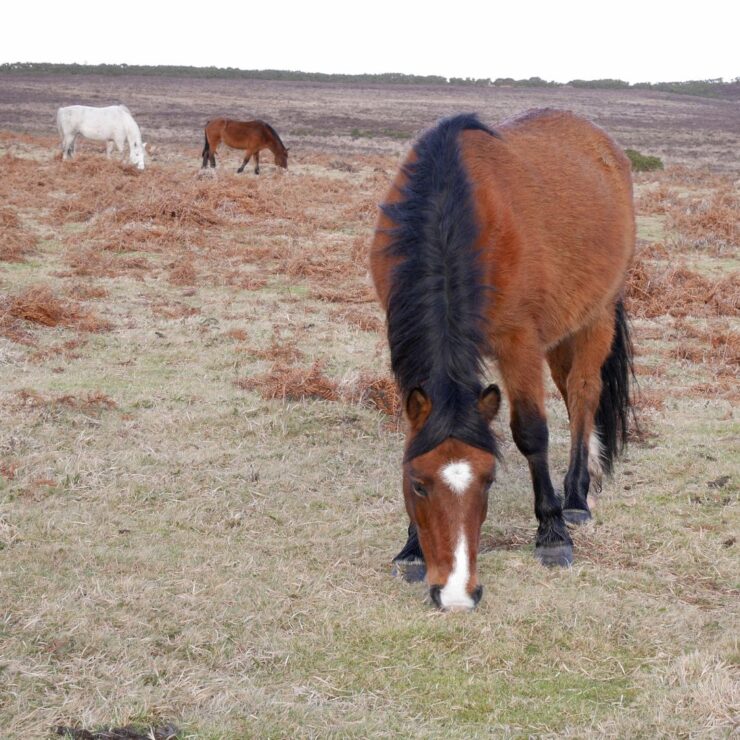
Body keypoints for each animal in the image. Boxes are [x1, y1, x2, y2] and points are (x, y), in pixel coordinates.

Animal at [370, 107, 636, 608]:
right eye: (418, 484)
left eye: (489, 481)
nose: (456, 594)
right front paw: (411, 548)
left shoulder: (519, 342)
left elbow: (531, 433)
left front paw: (552, 534)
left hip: (595, 317)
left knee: (584, 393)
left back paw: (575, 498)